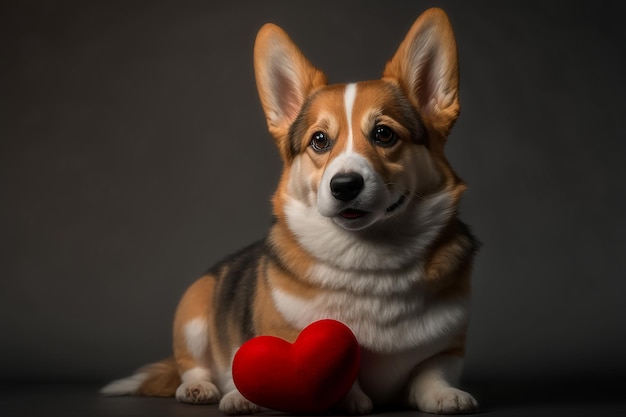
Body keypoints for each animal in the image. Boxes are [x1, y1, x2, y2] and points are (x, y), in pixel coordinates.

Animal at [101, 8, 478, 414]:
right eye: (320, 140)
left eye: (384, 134)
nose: (344, 185)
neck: (369, 258)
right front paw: (348, 399)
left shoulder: (449, 348)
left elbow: (431, 372)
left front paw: (445, 395)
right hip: (195, 310)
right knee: (194, 367)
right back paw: (208, 390)